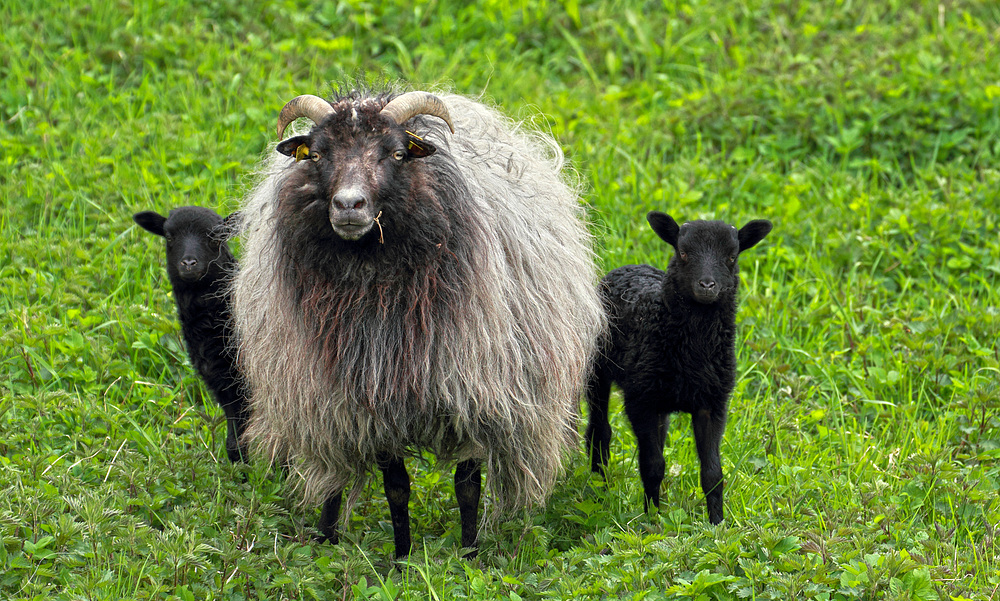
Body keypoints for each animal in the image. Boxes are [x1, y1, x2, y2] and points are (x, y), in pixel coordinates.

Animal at [232, 82, 608, 556]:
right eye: (316, 155)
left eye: (396, 154)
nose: (349, 205)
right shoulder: (371, 403)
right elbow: (397, 487)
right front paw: (402, 556)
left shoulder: (473, 388)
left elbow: (467, 485)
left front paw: (470, 555)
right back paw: (326, 535)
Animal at [584, 211, 772, 524]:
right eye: (683, 253)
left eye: (731, 257)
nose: (707, 285)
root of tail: (627, 266)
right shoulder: (641, 401)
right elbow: (652, 465)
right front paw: (652, 520)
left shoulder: (712, 403)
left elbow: (712, 473)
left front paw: (717, 523)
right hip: (597, 370)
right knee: (599, 432)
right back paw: (600, 488)